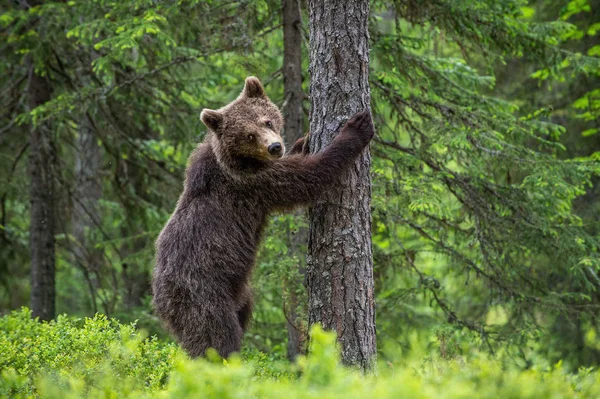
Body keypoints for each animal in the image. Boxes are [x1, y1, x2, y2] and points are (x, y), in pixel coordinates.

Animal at [152, 76, 372, 360]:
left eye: (266, 121)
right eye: (249, 135)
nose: (275, 146)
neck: (238, 160)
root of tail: (159, 299)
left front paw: (305, 140)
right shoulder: (254, 182)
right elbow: (307, 177)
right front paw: (357, 127)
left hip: (239, 293)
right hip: (201, 295)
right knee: (216, 339)